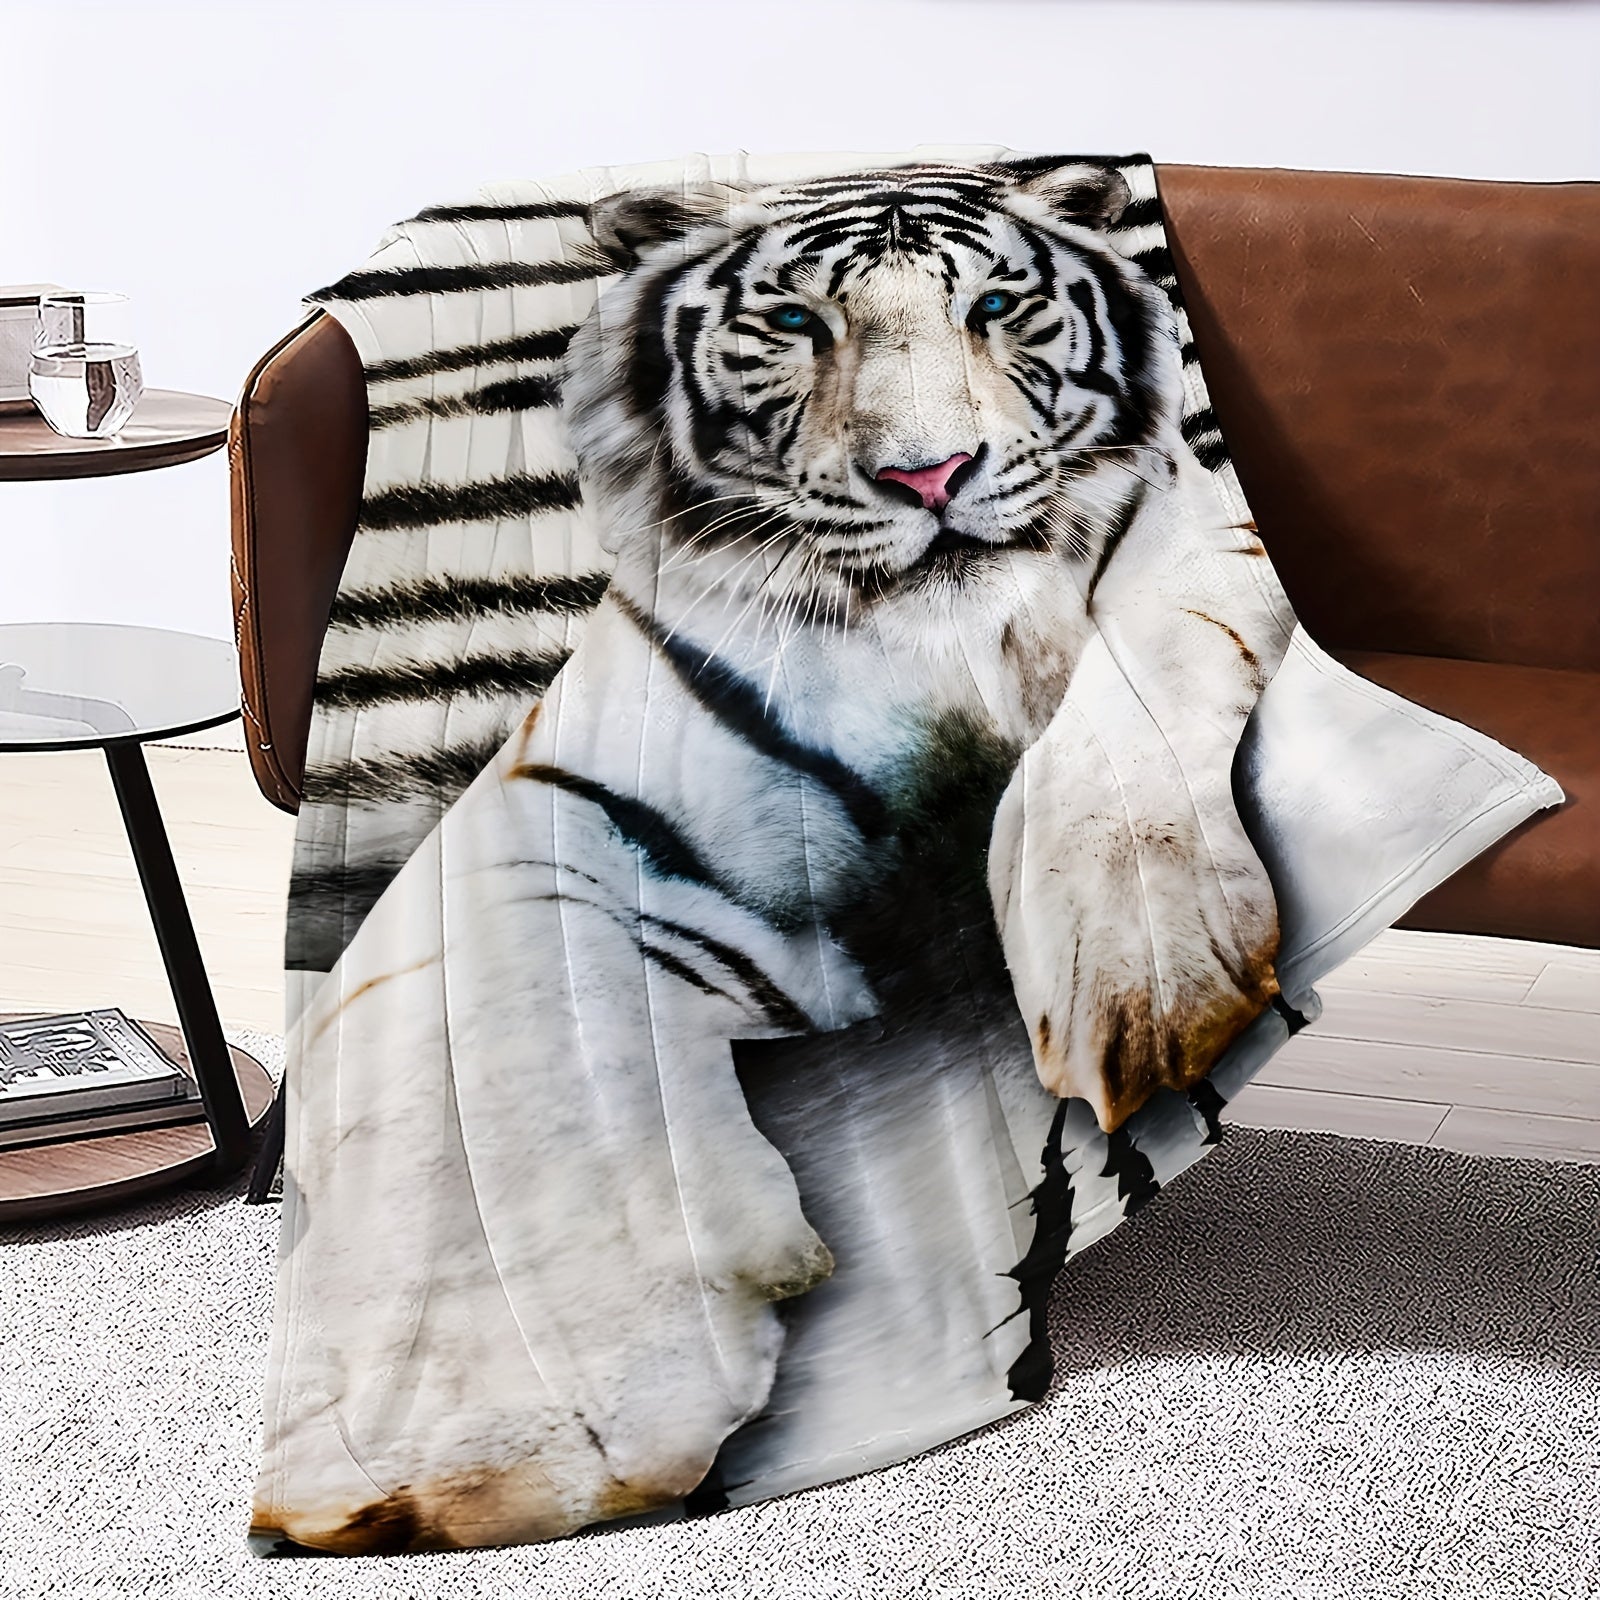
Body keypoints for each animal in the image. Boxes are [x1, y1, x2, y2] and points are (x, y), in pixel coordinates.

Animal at [257, 160, 1295, 1554]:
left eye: (997, 305)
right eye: (799, 324)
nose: (930, 476)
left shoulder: (1200, 550)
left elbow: (1132, 708)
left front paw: (1146, 985)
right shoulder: (546, 800)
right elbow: (505, 1038)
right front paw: (550, 1413)